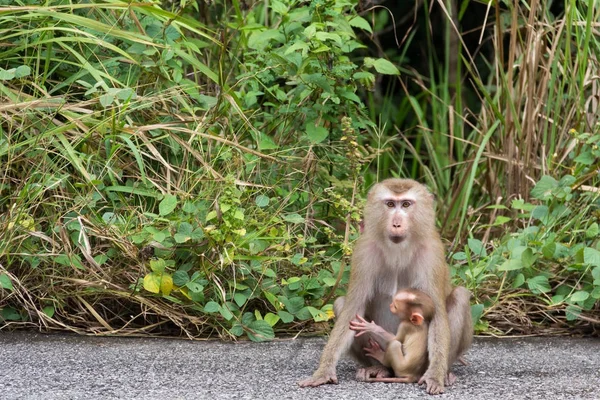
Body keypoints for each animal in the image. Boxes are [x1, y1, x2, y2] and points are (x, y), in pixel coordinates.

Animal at [296, 178, 474, 394]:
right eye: (390, 204)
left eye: (406, 204)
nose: (396, 223)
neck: (398, 250)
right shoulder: (364, 252)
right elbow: (352, 309)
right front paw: (323, 371)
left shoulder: (431, 254)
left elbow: (438, 313)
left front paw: (435, 375)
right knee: (341, 304)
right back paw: (378, 367)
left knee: (460, 296)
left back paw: (443, 372)